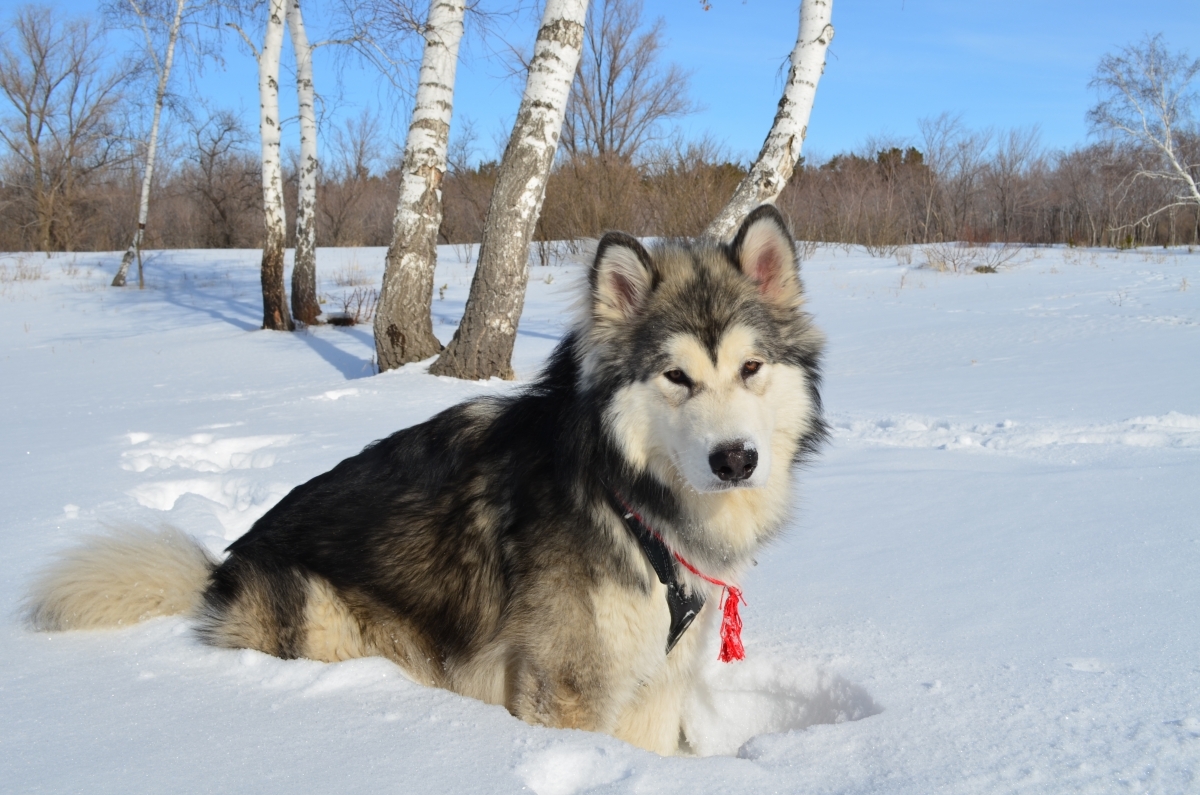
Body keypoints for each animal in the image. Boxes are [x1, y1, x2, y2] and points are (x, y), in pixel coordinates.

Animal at [25, 204, 825, 754]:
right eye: (676, 376)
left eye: (751, 367)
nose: (735, 458)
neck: (628, 498)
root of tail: (217, 569)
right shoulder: (567, 690)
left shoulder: (656, 681)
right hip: (324, 616)